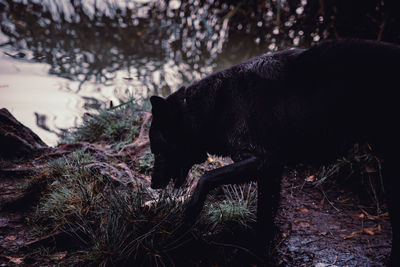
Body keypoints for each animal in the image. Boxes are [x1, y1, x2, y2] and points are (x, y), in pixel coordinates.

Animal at [150, 39, 400, 266]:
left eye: (158, 152)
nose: (153, 184)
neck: (217, 107)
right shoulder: (271, 172)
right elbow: (265, 217)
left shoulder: (263, 161)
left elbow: (206, 178)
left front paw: (189, 215)